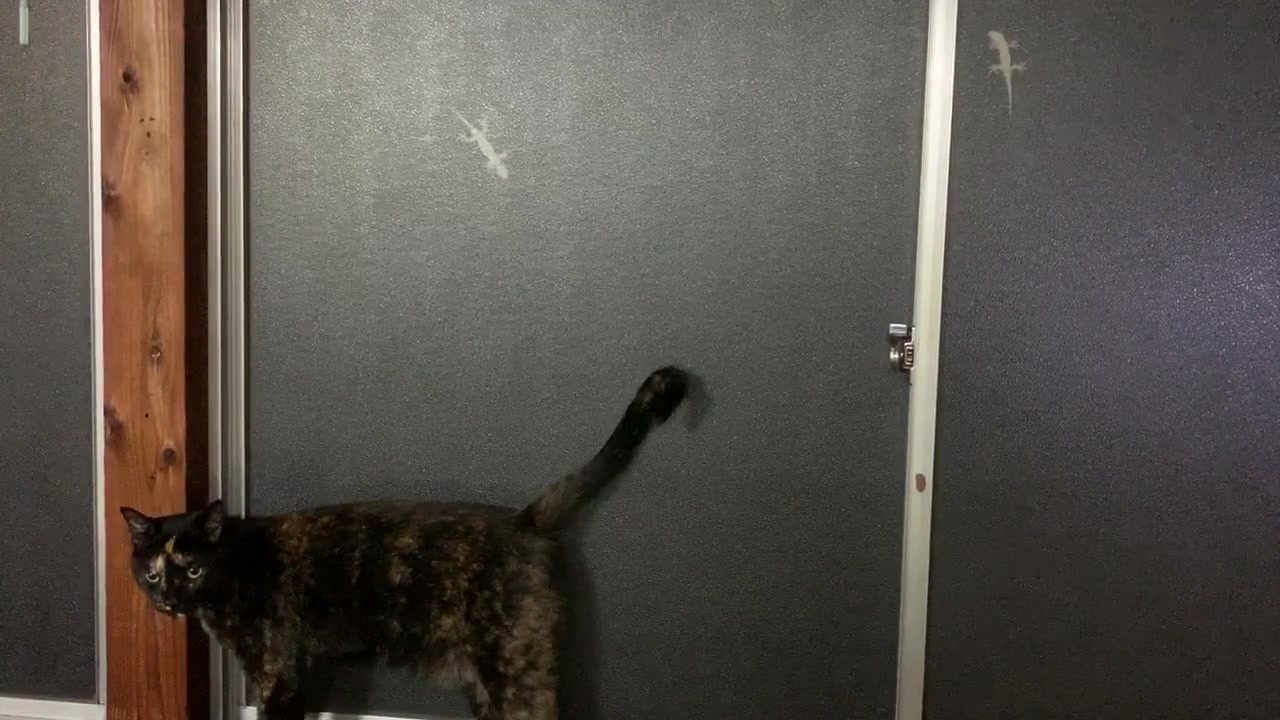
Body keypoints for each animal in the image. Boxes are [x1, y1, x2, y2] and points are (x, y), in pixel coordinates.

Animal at [121, 366, 691, 720]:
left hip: (517, 674)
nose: (167, 596)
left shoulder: (278, 676)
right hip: (488, 687)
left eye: (193, 569)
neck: (236, 565)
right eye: (153, 572)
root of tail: (529, 518)